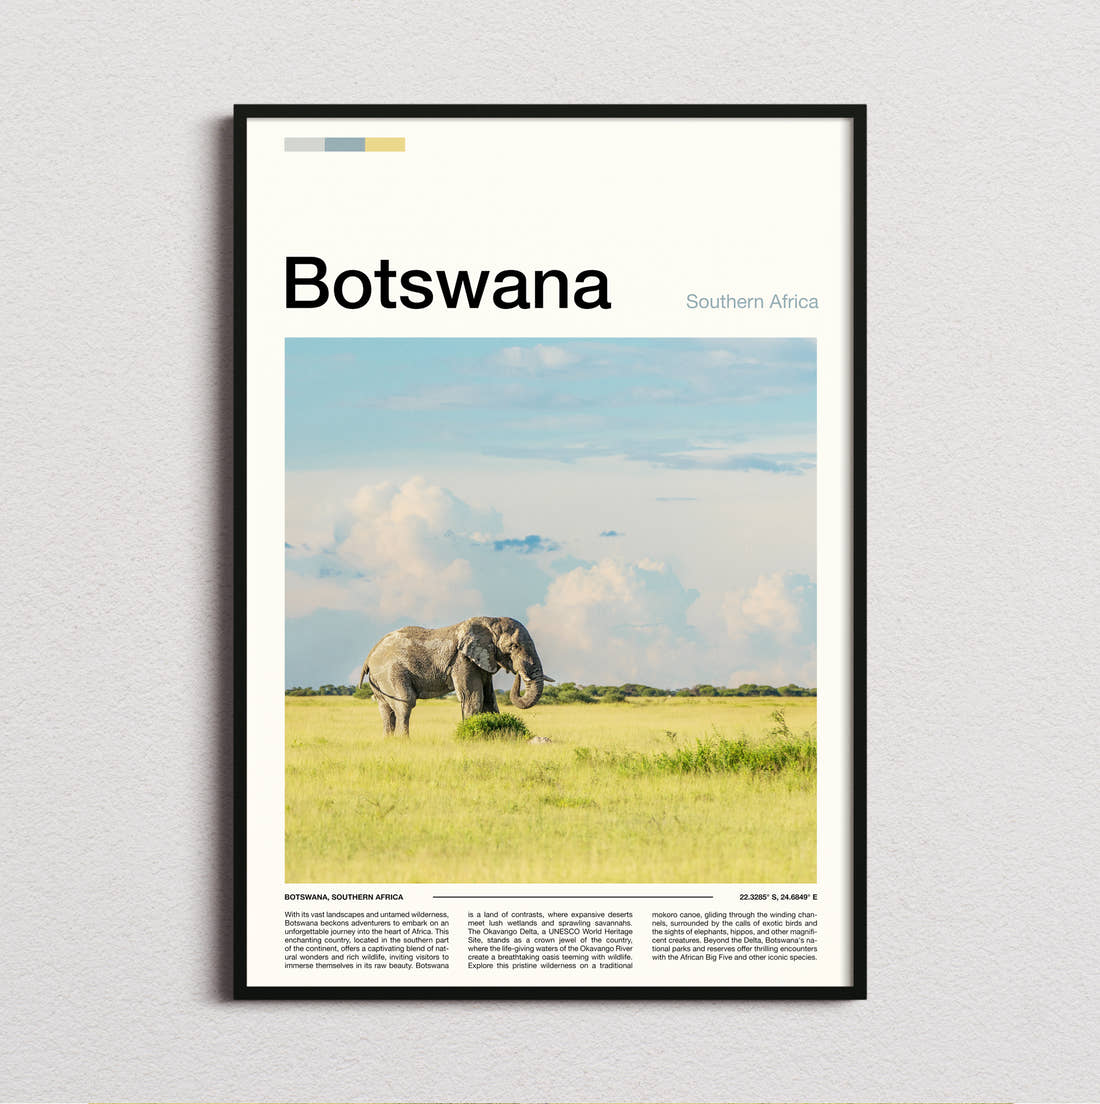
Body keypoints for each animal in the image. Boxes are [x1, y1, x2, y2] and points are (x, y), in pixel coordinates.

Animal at [356, 616, 553, 736]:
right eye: (513, 647)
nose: (518, 674)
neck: (490, 621)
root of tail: (370, 655)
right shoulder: (462, 660)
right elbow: (473, 698)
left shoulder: (483, 660)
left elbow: (489, 699)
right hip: (391, 672)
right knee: (405, 703)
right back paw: (404, 741)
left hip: (379, 680)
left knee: (385, 709)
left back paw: (389, 740)